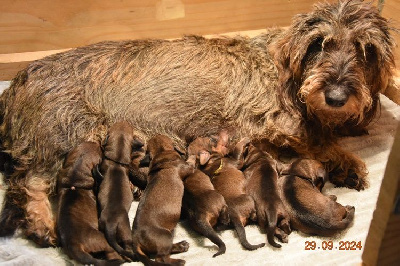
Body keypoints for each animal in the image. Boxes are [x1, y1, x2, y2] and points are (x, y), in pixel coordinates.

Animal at [0, 0, 396, 246]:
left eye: (366, 50)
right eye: (318, 44)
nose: (336, 96)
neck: (284, 70)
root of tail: (16, 84)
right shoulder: (278, 124)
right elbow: (318, 139)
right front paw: (347, 160)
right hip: (67, 135)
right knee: (29, 182)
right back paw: (41, 221)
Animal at [132, 135, 193, 266]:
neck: (161, 152)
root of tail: (135, 239)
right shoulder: (188, 167)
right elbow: (191, 161)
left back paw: (181, 246)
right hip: (166, 236)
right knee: (161, 258)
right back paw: (179, 261)